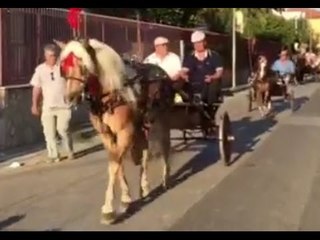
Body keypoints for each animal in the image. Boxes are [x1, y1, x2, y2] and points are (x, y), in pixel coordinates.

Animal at [54, 38, 172, 224]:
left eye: (84, 66)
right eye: (63, 68)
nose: (70, 97)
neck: (110, 95)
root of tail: (162, 73)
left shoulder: (125, 132)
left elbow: (114, 165)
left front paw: (108, 209)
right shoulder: (108, 136)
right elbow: (117, 162)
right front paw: (125, 198)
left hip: (161, 119)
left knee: (165, 145)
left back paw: (165, 177)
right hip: (142, 125)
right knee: (145, 151)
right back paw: (144, 186)